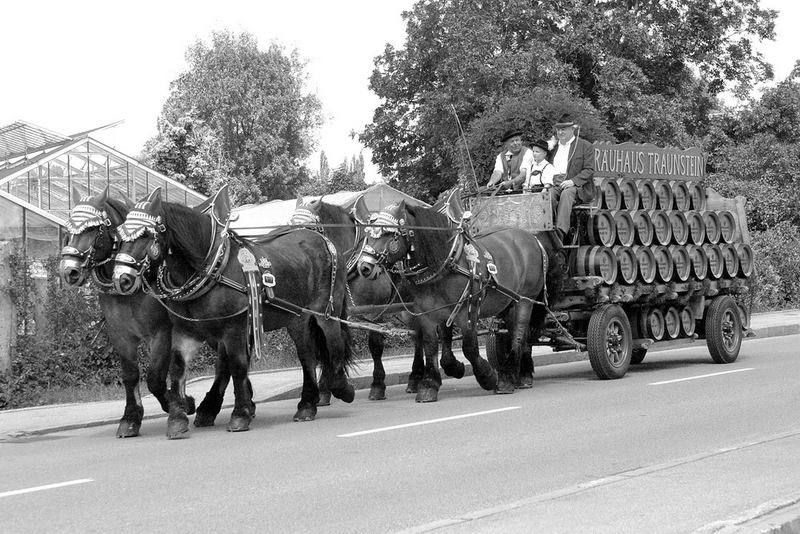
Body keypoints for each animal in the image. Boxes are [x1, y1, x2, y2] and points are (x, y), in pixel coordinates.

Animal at [59, 188, 188, 440]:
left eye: (92, 229)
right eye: (70, 229)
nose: (69, 271)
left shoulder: (161, 333)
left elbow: (155, 378)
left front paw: (175, 405)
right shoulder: (120, 334)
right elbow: (130, 375)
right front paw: (130, 418)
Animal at [111, 188, 354, 440]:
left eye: (146, 234)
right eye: (119, 236)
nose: (121, 278)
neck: (214, 268)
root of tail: (321, 238)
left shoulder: (233, 329)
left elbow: (237, 367)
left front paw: (240, 415)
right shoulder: (186, 331)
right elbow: (178, 369)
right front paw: (178, 418)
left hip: (326, 310)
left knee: (335, 343)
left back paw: (341, 388)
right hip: (297, 318)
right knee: (307, 355)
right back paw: (307, 404)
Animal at [296, 199, 466, 404]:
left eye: (309, 228)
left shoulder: (374, 310)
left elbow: (375, 345)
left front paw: (377, 385)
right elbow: (327, 346)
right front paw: (323, 390)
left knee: (442, 328)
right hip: (407, 308)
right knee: (418, 335)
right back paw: (415, 378)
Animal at [358, 201, 552, 402]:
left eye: (389, 234)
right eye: (369, 234)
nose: (364, 267)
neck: (447, 264)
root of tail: (532, 237)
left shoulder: (468, 309)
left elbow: (469, 347)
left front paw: (488, 376)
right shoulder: (429, 313)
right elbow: (432, 346)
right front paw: (432, 383)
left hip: (525, 300)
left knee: (519, 336)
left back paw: (506, 378)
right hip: (508, 303)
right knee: (518, 334)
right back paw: (521, 375)